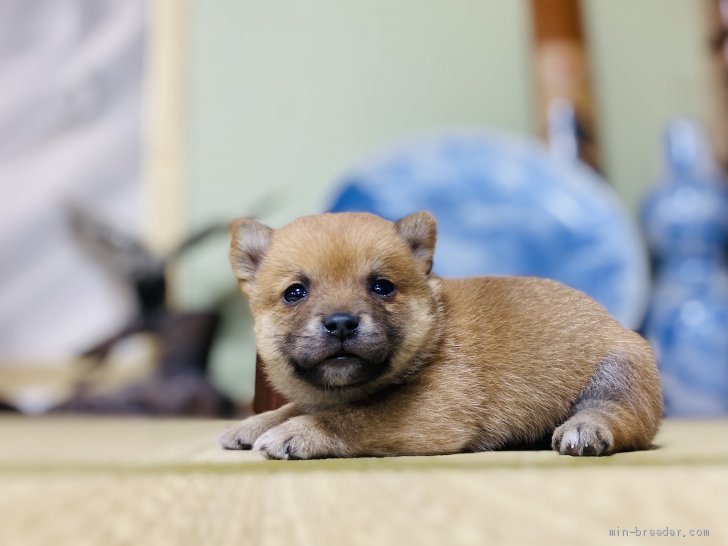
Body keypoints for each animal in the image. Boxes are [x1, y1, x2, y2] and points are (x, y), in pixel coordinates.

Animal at [219, 210, 664, 456]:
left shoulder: (430, 408)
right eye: (295, 292)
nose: (342, 322)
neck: (433, 331)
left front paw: (295, 433)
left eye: (382, 287)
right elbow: (293, 407)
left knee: (616, 413)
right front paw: (252, 425)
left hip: (616, 375)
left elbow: (348, 420)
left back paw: (585, 428)